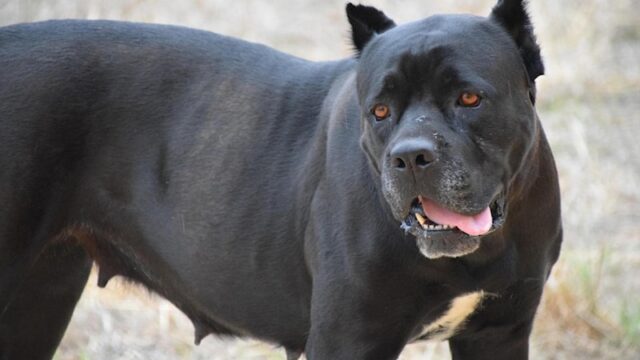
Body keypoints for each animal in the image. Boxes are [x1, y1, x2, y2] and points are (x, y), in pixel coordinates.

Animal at [0, 1, 560, 358]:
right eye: (380, 110)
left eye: (469, 98)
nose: (410, 156)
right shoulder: (349, 339)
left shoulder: (499, 333)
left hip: (40, 296)